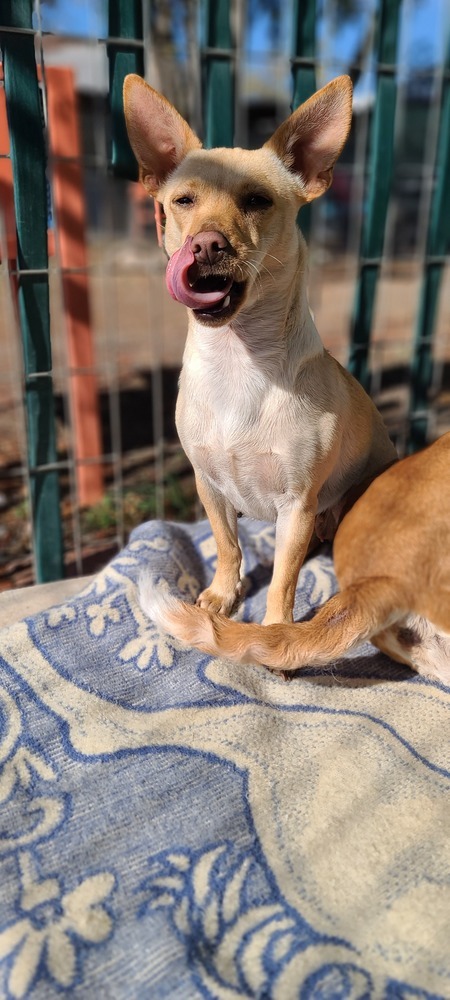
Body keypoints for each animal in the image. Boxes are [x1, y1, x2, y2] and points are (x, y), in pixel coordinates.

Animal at [123, 76, 394, 624]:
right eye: (183, 201)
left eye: (257, 201)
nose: (206, 244)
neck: (238, 357)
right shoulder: (208, 486)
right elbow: (229, 546)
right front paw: (223, 595)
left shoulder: (297, 505)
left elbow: (283, 581)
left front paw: (273, 632)